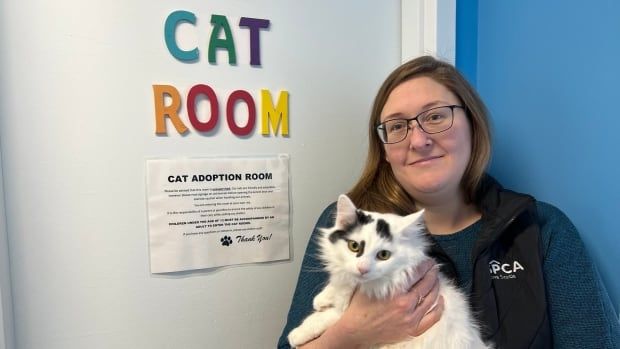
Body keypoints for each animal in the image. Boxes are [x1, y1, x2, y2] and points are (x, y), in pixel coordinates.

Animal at [288, 194, 492, 348]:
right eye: (354, 246)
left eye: (383, 255)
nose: (362, 269)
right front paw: (322, 298)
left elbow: (331, 316)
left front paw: (298, 334)